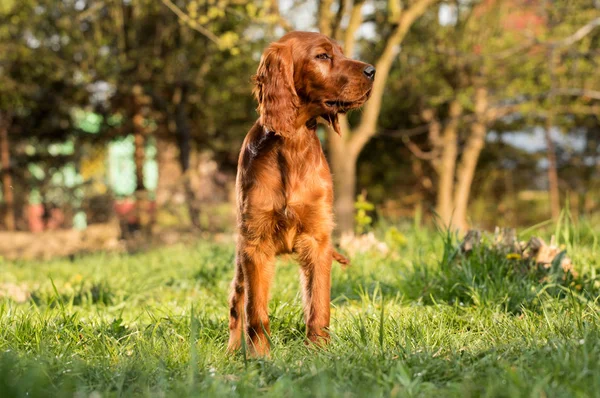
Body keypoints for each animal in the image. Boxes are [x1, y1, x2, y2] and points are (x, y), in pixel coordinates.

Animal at [226, 30, 372, 354]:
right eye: (322, 56)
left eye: (340, 52)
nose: (372, 70)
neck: (293, 146)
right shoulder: (256, 243)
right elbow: (255, 312)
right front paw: (260, 357)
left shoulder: (317, 239)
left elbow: (318, 304)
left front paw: (318, 351)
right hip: (241, 254)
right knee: (236, 301)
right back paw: (230, 352)